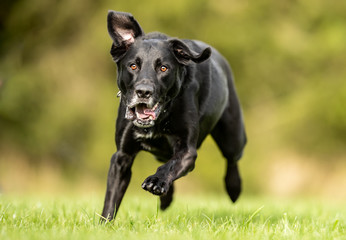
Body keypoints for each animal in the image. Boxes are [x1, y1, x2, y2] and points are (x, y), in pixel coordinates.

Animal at [100, 11, 246, 221]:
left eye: (163, 68)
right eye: (133, 66)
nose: (143, 92)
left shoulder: (187, 150)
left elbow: (171, 165)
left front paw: (156, 181)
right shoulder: (122, 156)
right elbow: (111, 200)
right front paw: (103, 224)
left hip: (232, 136)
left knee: (232, 159)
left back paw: (234, 188)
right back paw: (166, 199)